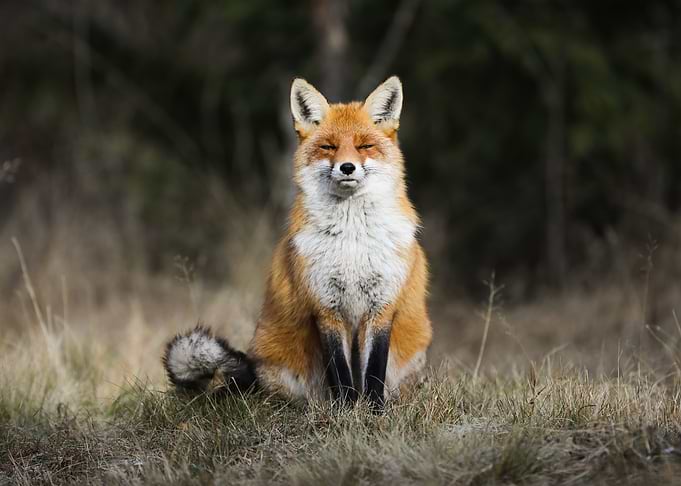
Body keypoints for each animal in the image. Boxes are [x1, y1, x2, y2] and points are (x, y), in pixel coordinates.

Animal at [163, 76, 432, 410]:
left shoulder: (381, 305)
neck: (352, 243)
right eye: (328, 147)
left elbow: (373, 372)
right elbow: (341, 372)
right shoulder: (325, 306)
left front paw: (372, 412)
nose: (347, 167)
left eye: (364, 146)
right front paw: (346, 411)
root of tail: (257, 371)